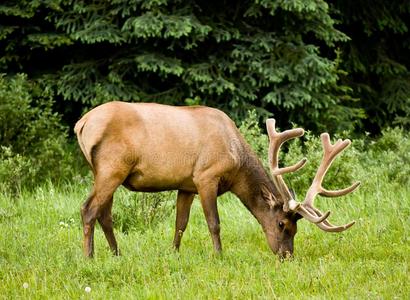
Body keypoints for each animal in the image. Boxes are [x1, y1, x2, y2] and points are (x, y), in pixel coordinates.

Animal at [75, 101, 360, 258]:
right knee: (89, 209)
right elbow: (214, 223)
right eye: (282, 224)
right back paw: (89, 257)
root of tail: (82, 123)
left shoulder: (186, 185)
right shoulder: (205, 175)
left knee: (104, 214)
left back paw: (116, 253)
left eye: (296, 228)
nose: (286, 255)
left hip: (105, 171)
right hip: (112, 166)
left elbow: (180, 224)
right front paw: (219, 255)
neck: (236, 163)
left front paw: (174, 253)